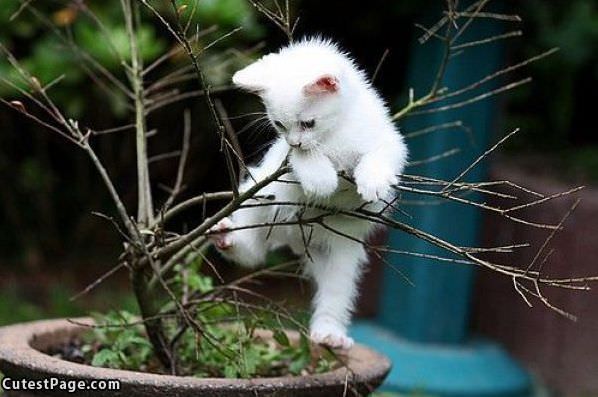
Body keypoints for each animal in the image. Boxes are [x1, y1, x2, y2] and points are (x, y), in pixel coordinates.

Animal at [210, 37, 408, 346]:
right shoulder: (284, 161)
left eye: (308, 123)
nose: (295, 141)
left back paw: (329, 333)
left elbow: (379, 157)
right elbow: (303, 159)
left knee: (335, 292)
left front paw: (373, 181)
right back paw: (226, 238)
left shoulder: (388, 141)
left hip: (341, 253)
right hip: (260, 199)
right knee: (252, 251)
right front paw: (322, 179)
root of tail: (293, 237)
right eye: (279, 125)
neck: (336, 131)